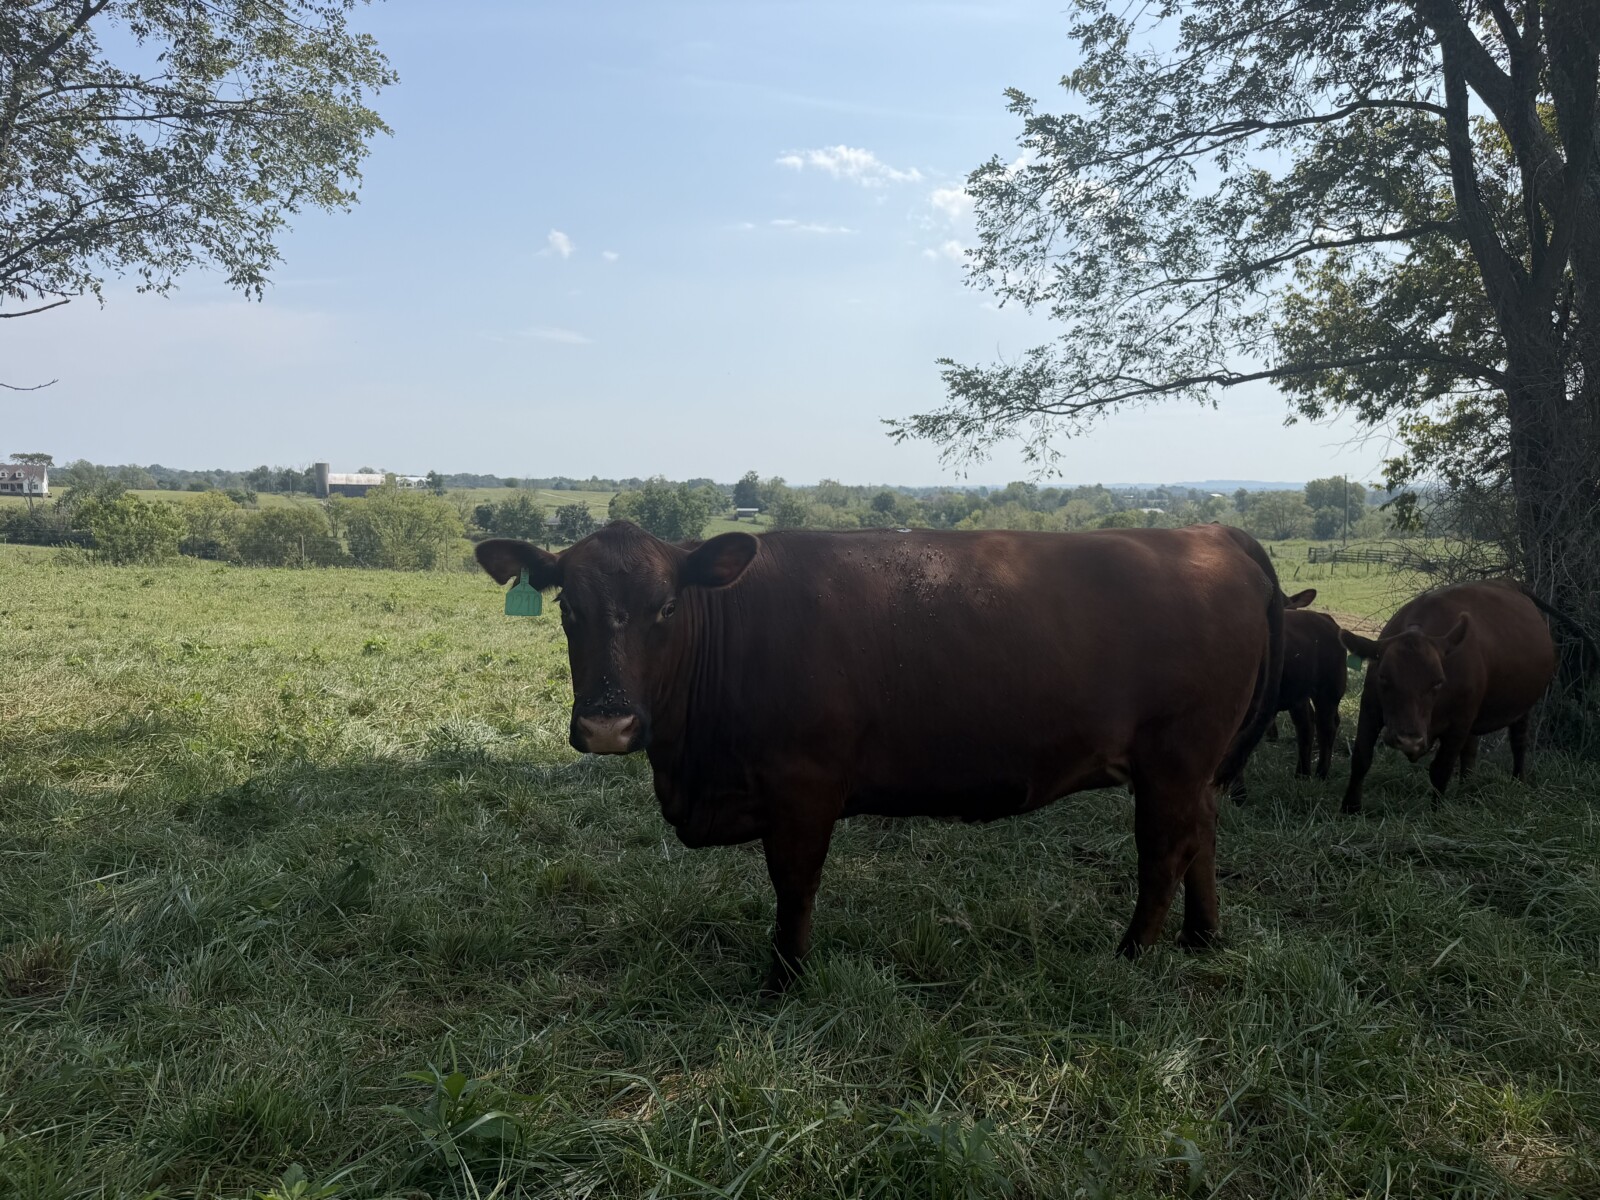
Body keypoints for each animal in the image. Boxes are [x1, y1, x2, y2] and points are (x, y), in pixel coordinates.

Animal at [476, 520, 1283, 993]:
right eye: (566, 607)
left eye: (666, 607)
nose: (608, 724)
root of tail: (1210, 532)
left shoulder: (804, 784)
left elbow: (795, 884)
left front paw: (786, 979)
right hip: (1194, 766)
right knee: (1202, 837)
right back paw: (1203, 939)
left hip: (1173, 755)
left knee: (1164, 851)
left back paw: (1133, 955)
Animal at [1339, 580, 1556, 813]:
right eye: (1383, 677)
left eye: (1438, 681)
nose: (1408, 739)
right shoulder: (1370, 709)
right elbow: (1361, 757)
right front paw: (1350, 807)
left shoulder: (1459, 723)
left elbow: (1441, 769)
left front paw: (1435, 812)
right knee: (1470, 750)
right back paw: (1466, 787)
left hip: (1522, 708)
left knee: (1519, 742)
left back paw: (1518, 780)